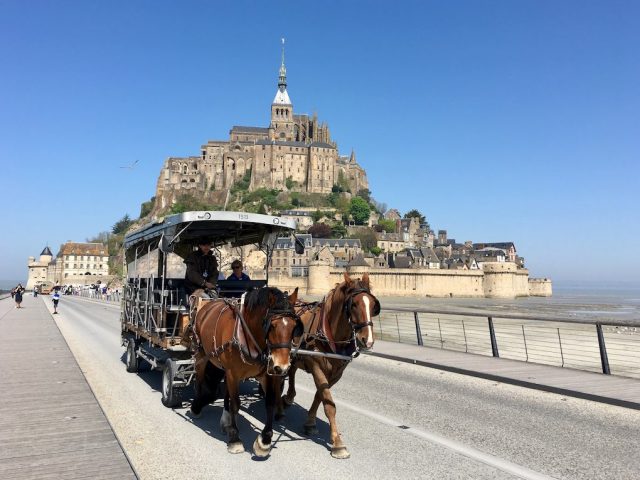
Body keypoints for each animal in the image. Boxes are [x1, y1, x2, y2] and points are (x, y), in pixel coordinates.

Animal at [190, 286, 300, 456]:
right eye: (272, 326)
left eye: (294, 326)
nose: (282, 366)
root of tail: (208, 304)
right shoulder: (233, 373)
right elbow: (236, 404)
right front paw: (235, 439)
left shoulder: (267, 374)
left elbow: (270, 402)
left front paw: (265, 440)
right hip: (201, 353)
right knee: (200, 379)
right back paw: (196, 406)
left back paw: (226, 421)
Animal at [282, 272, 380, 460]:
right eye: (353, 304)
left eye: (373, 305)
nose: (368, 340)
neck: (329, 333)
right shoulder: (316, 367)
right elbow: (329, 404)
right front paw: (338, 443)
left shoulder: (336, 373)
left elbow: (320, 396)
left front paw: (310, 423)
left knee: (292, 371)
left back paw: (289, 397)